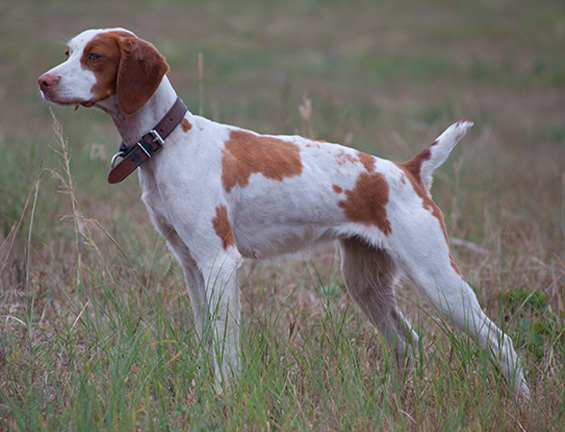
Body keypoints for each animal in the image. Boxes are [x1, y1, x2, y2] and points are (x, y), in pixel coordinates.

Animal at [38, 28, 530, 399]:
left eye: (96, 56)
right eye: (67, 53)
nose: (43, 81)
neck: (168, 141)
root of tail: (409, 169)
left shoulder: (220, 262)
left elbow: (226, 347)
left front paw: (224, 396)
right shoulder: (191, 266)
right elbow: (206, 339)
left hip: (436, 278)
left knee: (501, 342)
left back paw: (523, 401)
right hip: (366, 284)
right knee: (407, 342)